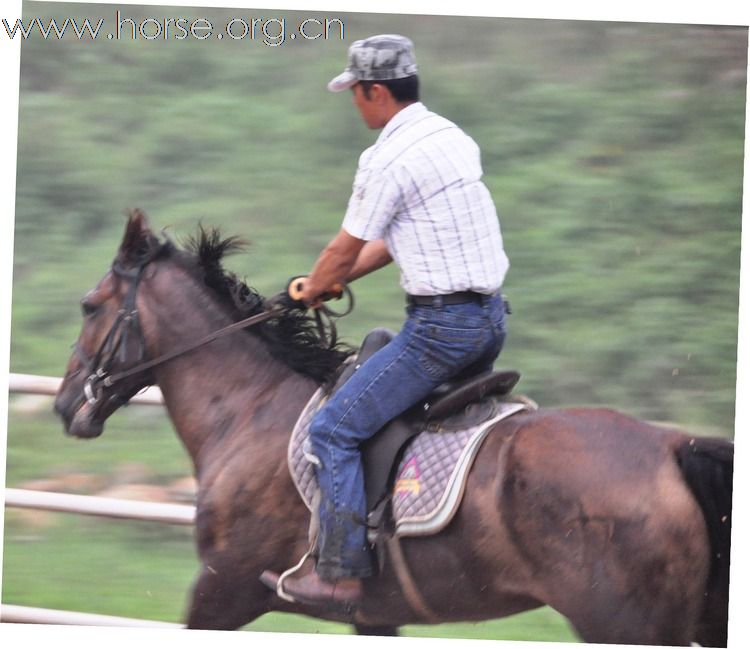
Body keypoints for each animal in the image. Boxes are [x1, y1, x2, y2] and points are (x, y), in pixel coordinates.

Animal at [53, 213, 736, 644]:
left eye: (89, 306)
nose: (64, 406)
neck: (250, 409)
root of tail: (674, 445)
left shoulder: (226, 585)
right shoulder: (372, 612)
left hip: (626, 626)